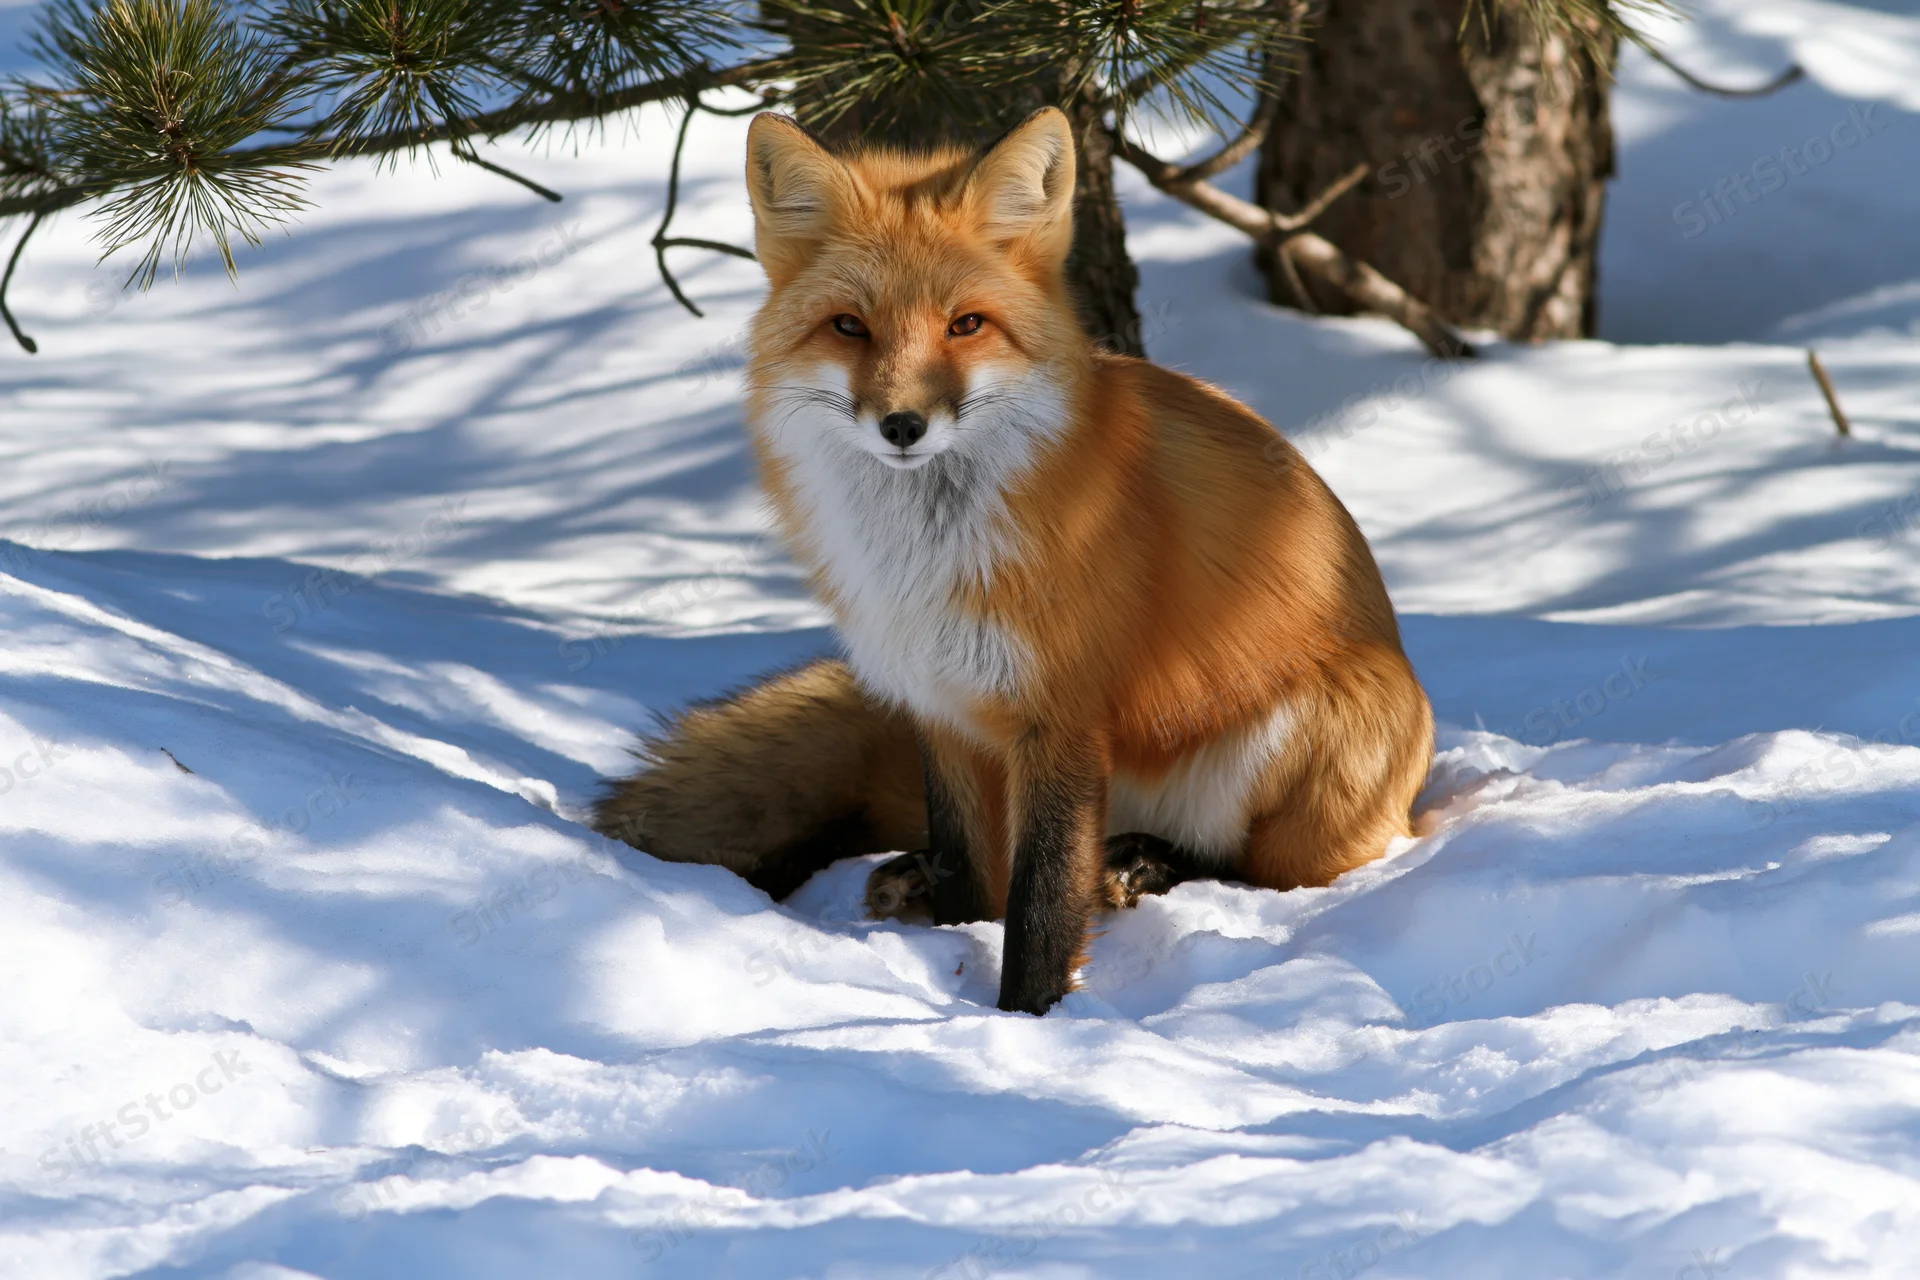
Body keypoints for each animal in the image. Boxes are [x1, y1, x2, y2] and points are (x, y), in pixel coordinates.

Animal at [594, 107, 1434, 1015]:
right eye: (850, 326)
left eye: (966, 325)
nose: (902, 425)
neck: (924, 559)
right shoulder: (940, 704)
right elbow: (971, 865)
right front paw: (958, 938)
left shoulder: (1060, 717)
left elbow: (1041, 902)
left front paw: (1026, 1020)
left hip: (1306, 730)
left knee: (1260, 869)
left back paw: (1146, 864)